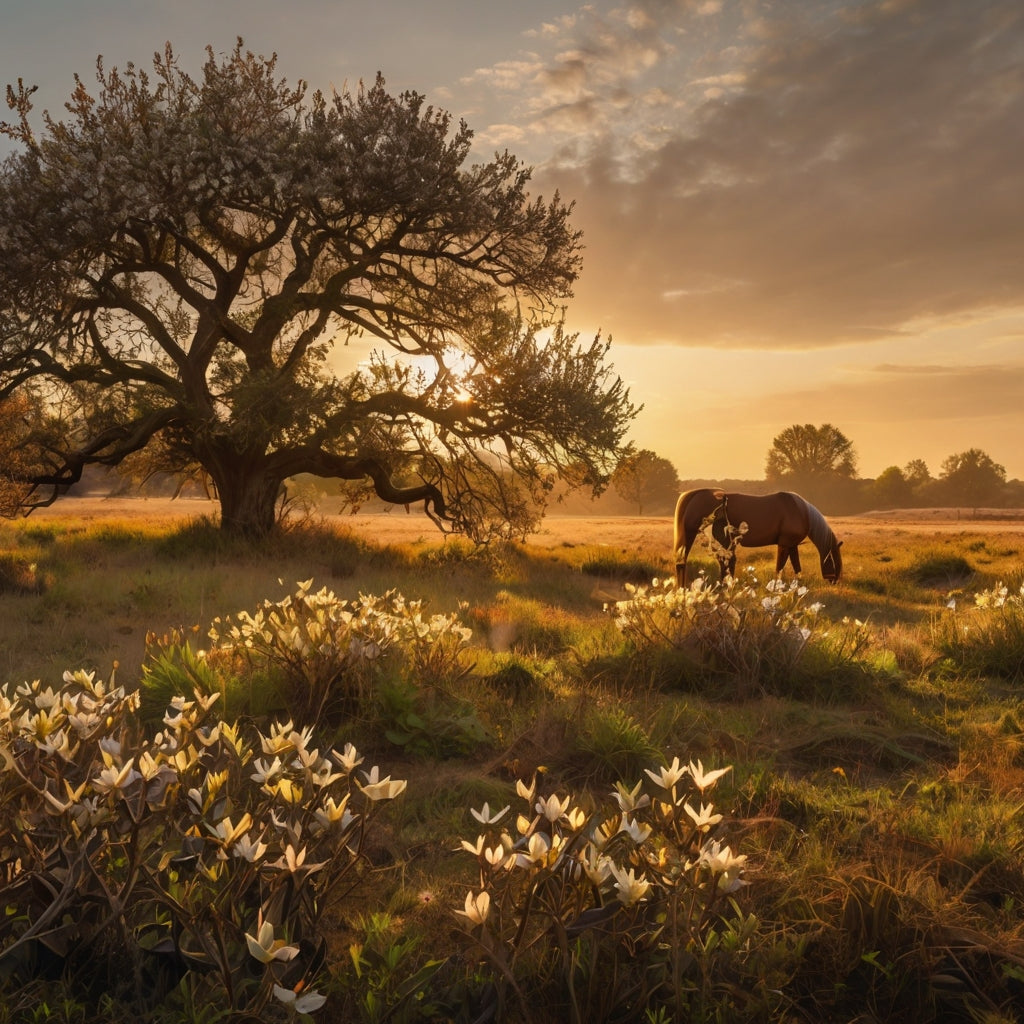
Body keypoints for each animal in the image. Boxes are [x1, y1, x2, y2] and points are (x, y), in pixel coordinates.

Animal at [673, 489, 843, 586]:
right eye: (834, 559)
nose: (834, 580)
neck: (800, 511)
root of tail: (695, 495)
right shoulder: (784, 544)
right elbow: (780, 567)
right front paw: (776, 587)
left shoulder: (791, 545)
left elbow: (796, 567)